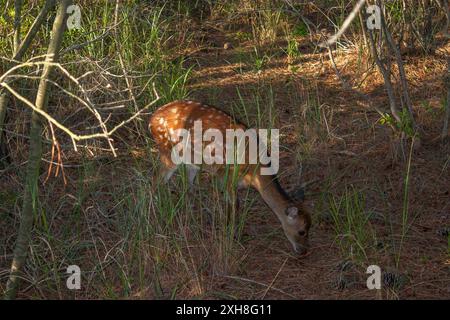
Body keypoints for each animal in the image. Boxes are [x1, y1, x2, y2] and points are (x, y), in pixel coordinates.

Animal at [149, 100, 312, 255]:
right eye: (302, 231)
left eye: (310, 227)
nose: (304, 251)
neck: (255, 173)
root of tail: (151, 120)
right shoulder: (226, 175)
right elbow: (235, 205)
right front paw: (233, 236)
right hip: (168, 152)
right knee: (155, 182)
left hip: (192, 162)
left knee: (188, 188)